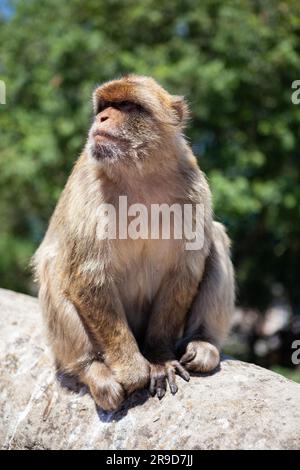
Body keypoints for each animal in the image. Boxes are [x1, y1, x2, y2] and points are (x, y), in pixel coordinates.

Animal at [32, 75, 234, 410]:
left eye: (126, 106)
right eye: (104, 106)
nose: (101, 118)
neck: (139, 172)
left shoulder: (194, 186)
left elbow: (184, 270)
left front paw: (159, 356)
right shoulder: (88, 184)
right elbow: (89, 276)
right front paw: (134, 369)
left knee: (215, 239)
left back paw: (204, 343)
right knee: (53, 264)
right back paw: (92, 370)